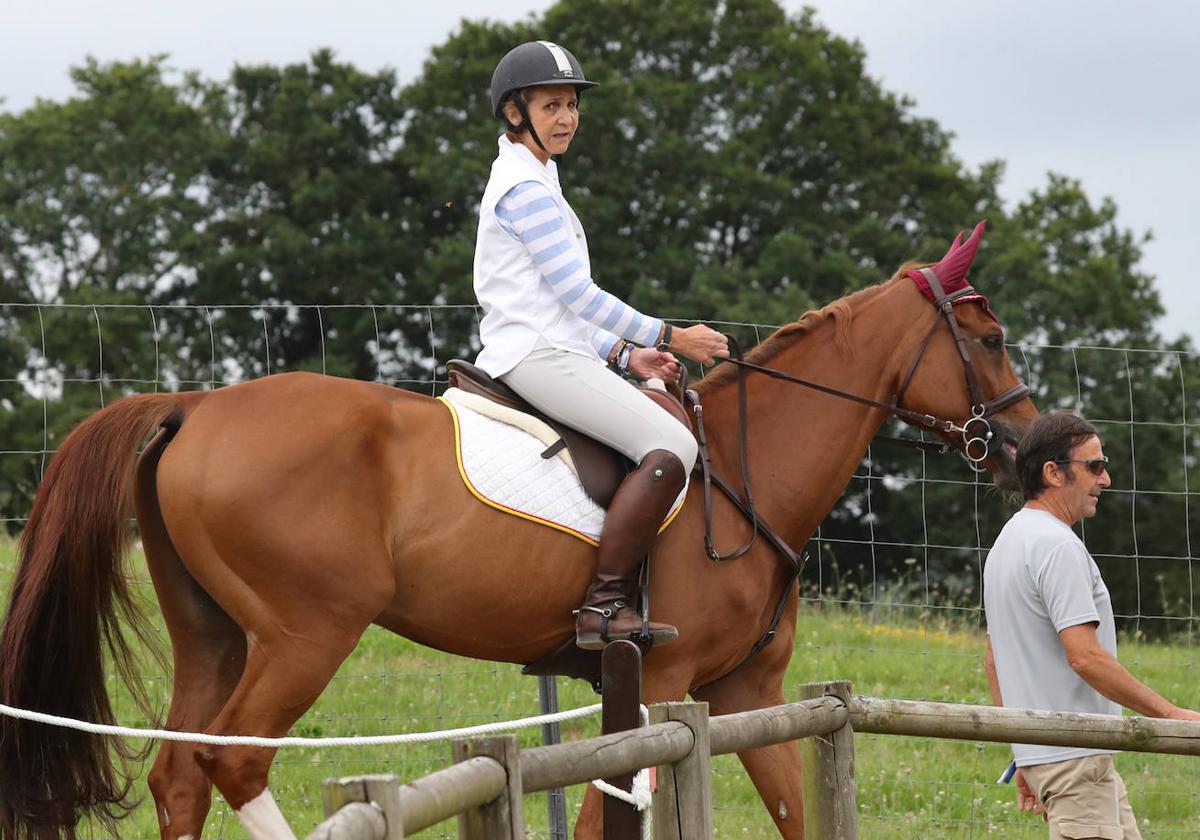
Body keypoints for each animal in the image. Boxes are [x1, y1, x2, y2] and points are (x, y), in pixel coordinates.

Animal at [0, 224, 1032, 840]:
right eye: (989, 340)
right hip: (306, 635)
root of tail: (196, 407)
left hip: (213, 633)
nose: (1031, 443)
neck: (747, 471)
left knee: (181, 774)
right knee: (233, 761)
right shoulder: (654, 685)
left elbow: (789, 810)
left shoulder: (746, 695)